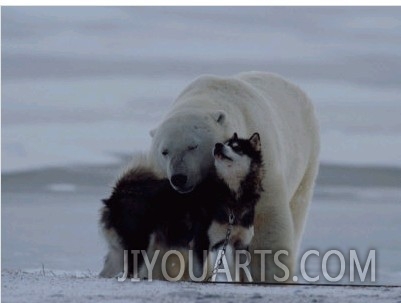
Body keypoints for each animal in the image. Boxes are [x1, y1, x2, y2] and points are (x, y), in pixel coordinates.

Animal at [148, 72, 320, 284]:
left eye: (192, 146)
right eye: (164, 151)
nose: (179, 178)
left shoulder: (260, 170)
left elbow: (267, 226)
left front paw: (271, 276)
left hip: (307, 156)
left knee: (297, 208)